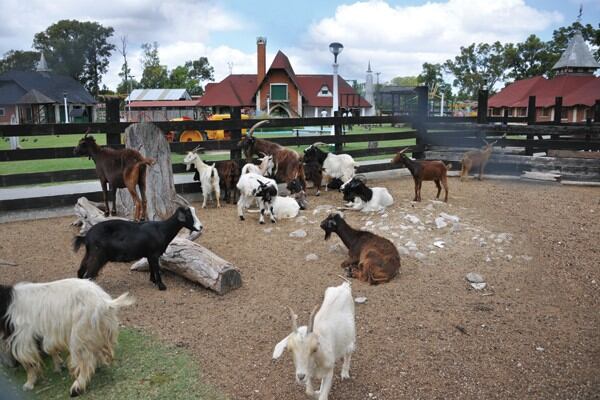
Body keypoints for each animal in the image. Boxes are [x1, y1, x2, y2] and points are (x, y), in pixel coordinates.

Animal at [0, 278, 134, 396]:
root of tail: (105, 302)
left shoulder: (22, 337)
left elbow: (29, 362)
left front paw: (29, 384)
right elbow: (51, 349)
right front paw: (58, 366)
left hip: (80, 334)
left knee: (86, 360)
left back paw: (76, 388)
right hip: (95, 331)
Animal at [73, 206, 203, 290]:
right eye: (188, 215)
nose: (201, 227)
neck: (162, 229)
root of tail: (86, 237)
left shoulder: (149, 254)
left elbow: (151, 267)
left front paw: (153, 281)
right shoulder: (154, 254)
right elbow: (156, 268)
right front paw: (161, 286)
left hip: (90, 253)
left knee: (81, 271)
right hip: (98, 255)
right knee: (88, 275)